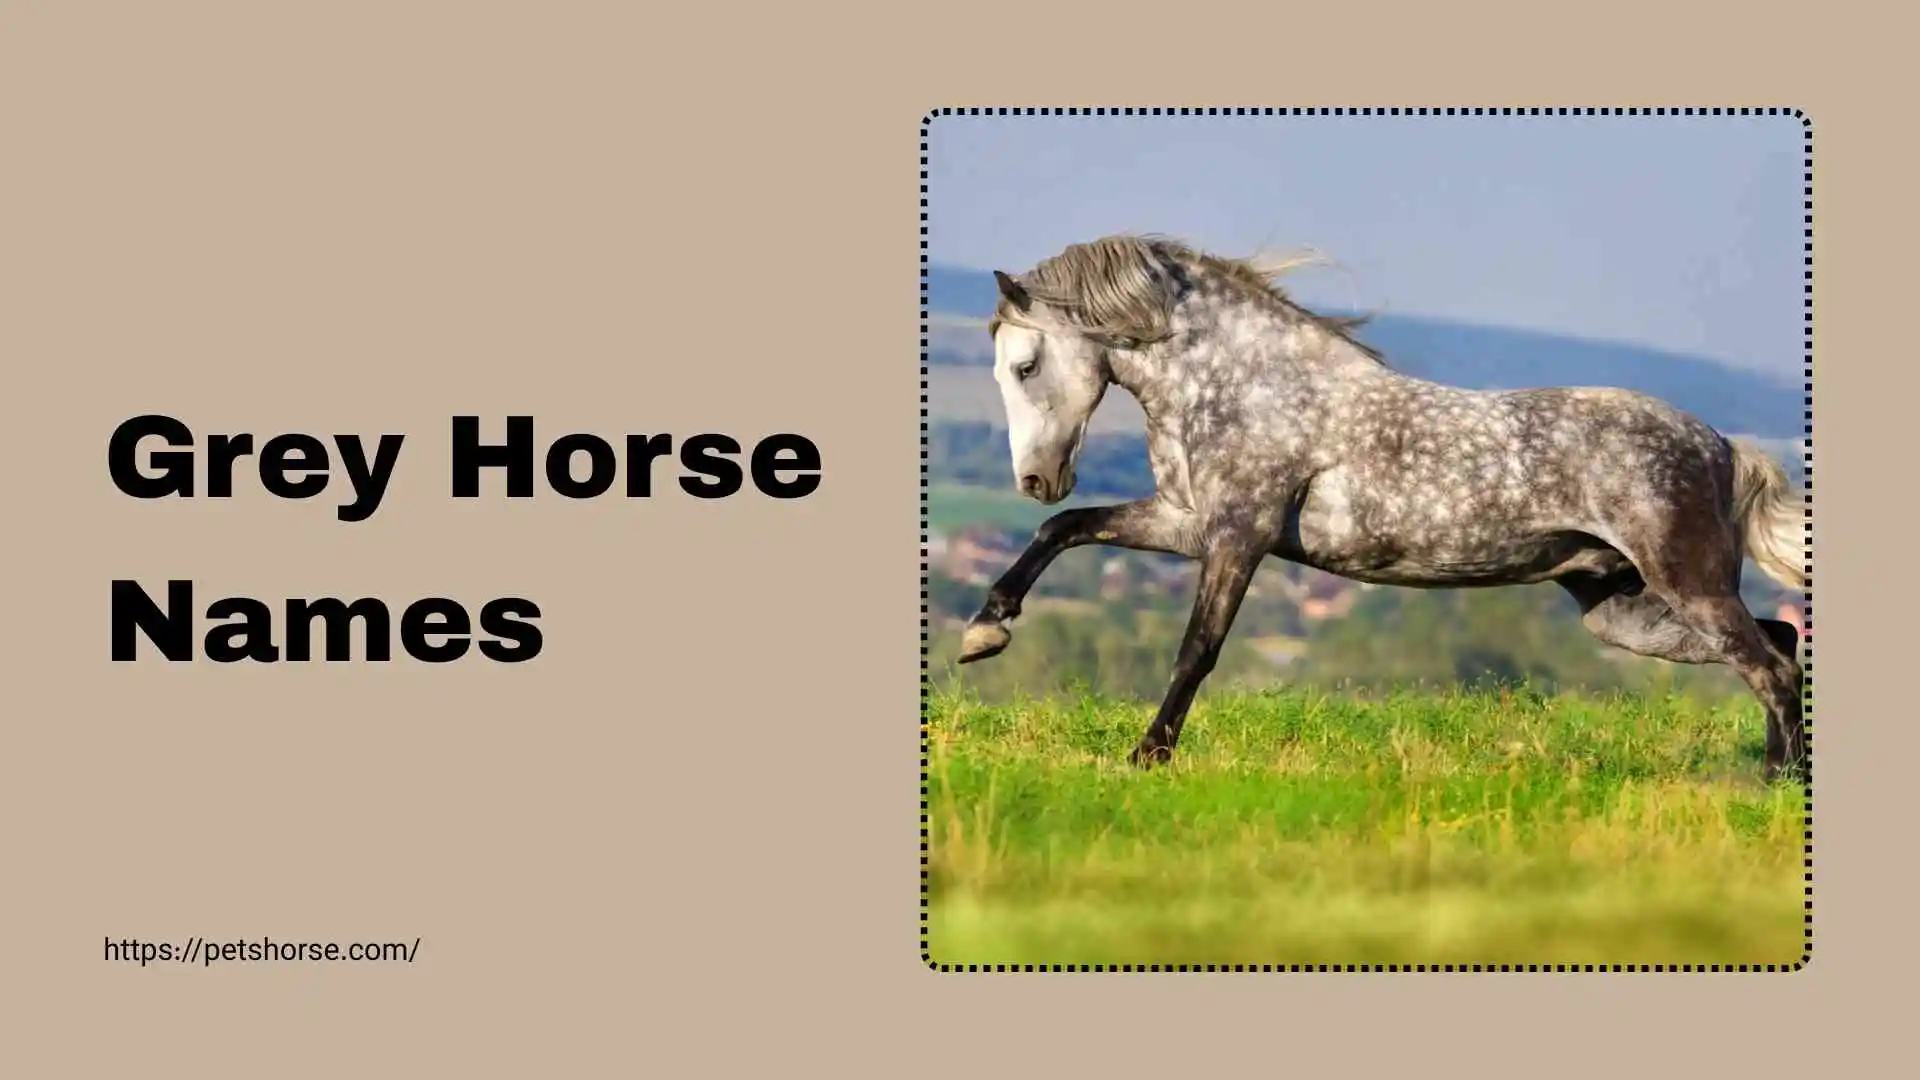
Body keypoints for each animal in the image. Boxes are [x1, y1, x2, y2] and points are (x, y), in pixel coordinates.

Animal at [952, 234, 1809, 782]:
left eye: (1025, 365)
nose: (1035, 478)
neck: (1245, 384)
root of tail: (1723, 447)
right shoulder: (1184, 523)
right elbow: (1066, 529)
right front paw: (984, 632)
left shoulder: (1237, 537)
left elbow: (1197, 649)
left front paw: (1147, 756)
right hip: (1621, 606)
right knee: (1777, 643)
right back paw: (1777, 771)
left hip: (1684, 582)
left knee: (1766, 664)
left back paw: (1780, 784)